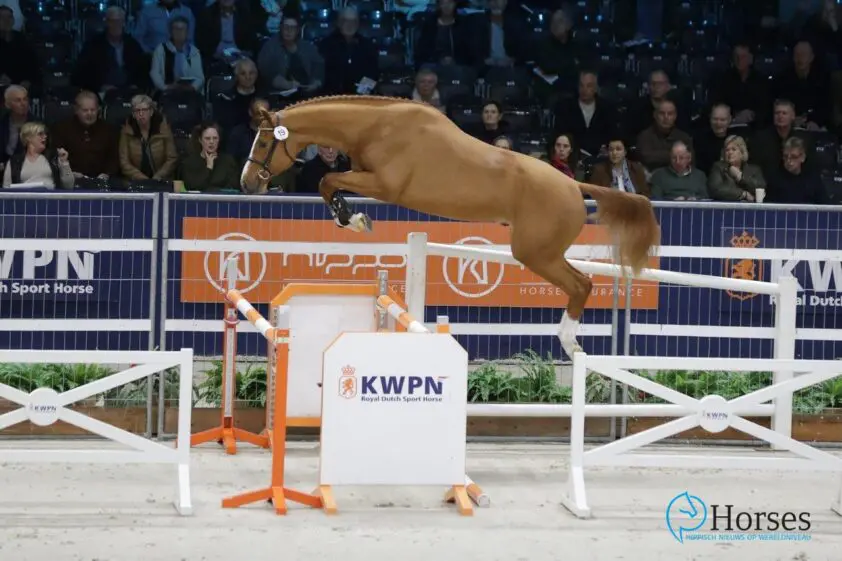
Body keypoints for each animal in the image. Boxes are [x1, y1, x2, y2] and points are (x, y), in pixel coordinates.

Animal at [240, 95, 660, 357]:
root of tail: (575, 185)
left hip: (535, 252)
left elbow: (327, 181)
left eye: (262, 143)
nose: (246, 184)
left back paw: (569, 341)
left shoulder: (384, 185)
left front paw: (353, 219)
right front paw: (349, 217)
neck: (375, 126)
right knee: (580, 282)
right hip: (541, 252)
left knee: (582, 283)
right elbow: (329, 183)